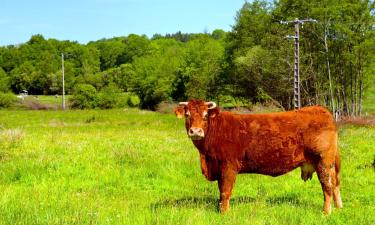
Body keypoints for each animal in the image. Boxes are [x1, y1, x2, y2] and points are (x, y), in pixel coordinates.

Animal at [176, 100, 344, 214]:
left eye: (205, 116)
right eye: (187, 115)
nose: (195, 131)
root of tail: (322, 110)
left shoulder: (228, 166)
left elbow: (225, 191)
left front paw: (224, 213)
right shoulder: (218, 168)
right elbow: (221, 190)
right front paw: (220, 209)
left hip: (323, 162)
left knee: (327, 187)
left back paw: (326, 212)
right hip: (328, 164)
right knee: (335, 184)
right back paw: (339, 207)